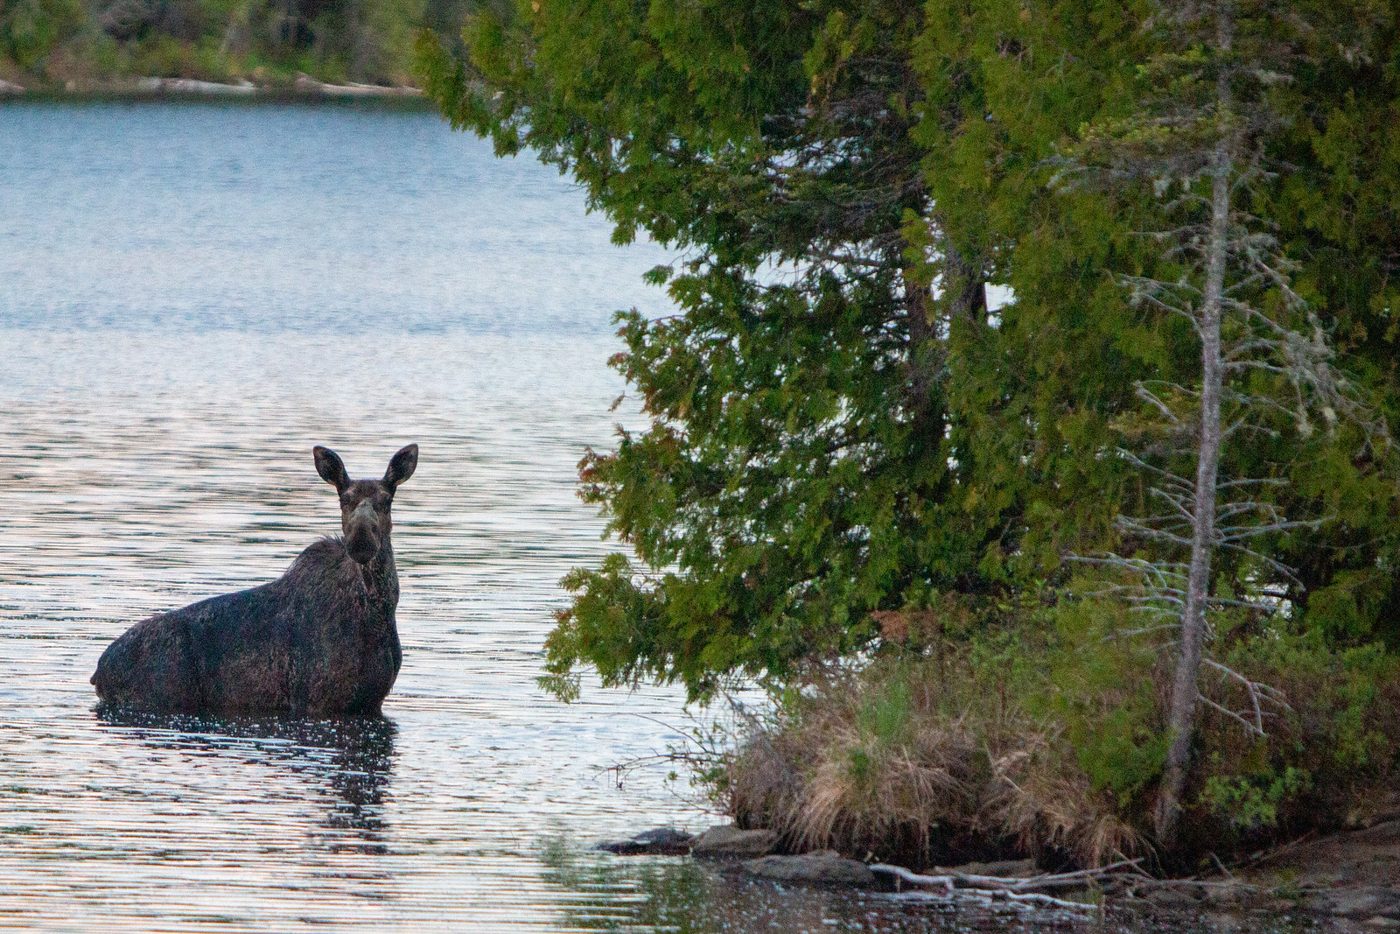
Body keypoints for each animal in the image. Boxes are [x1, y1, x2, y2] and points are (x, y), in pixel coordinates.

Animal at [91, 444, 418, 716]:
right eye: (343, 500)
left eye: (387, 500)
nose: (361, 541)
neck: (376, 613)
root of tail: (98, 672)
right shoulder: (316, 701)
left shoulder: (371, 700)